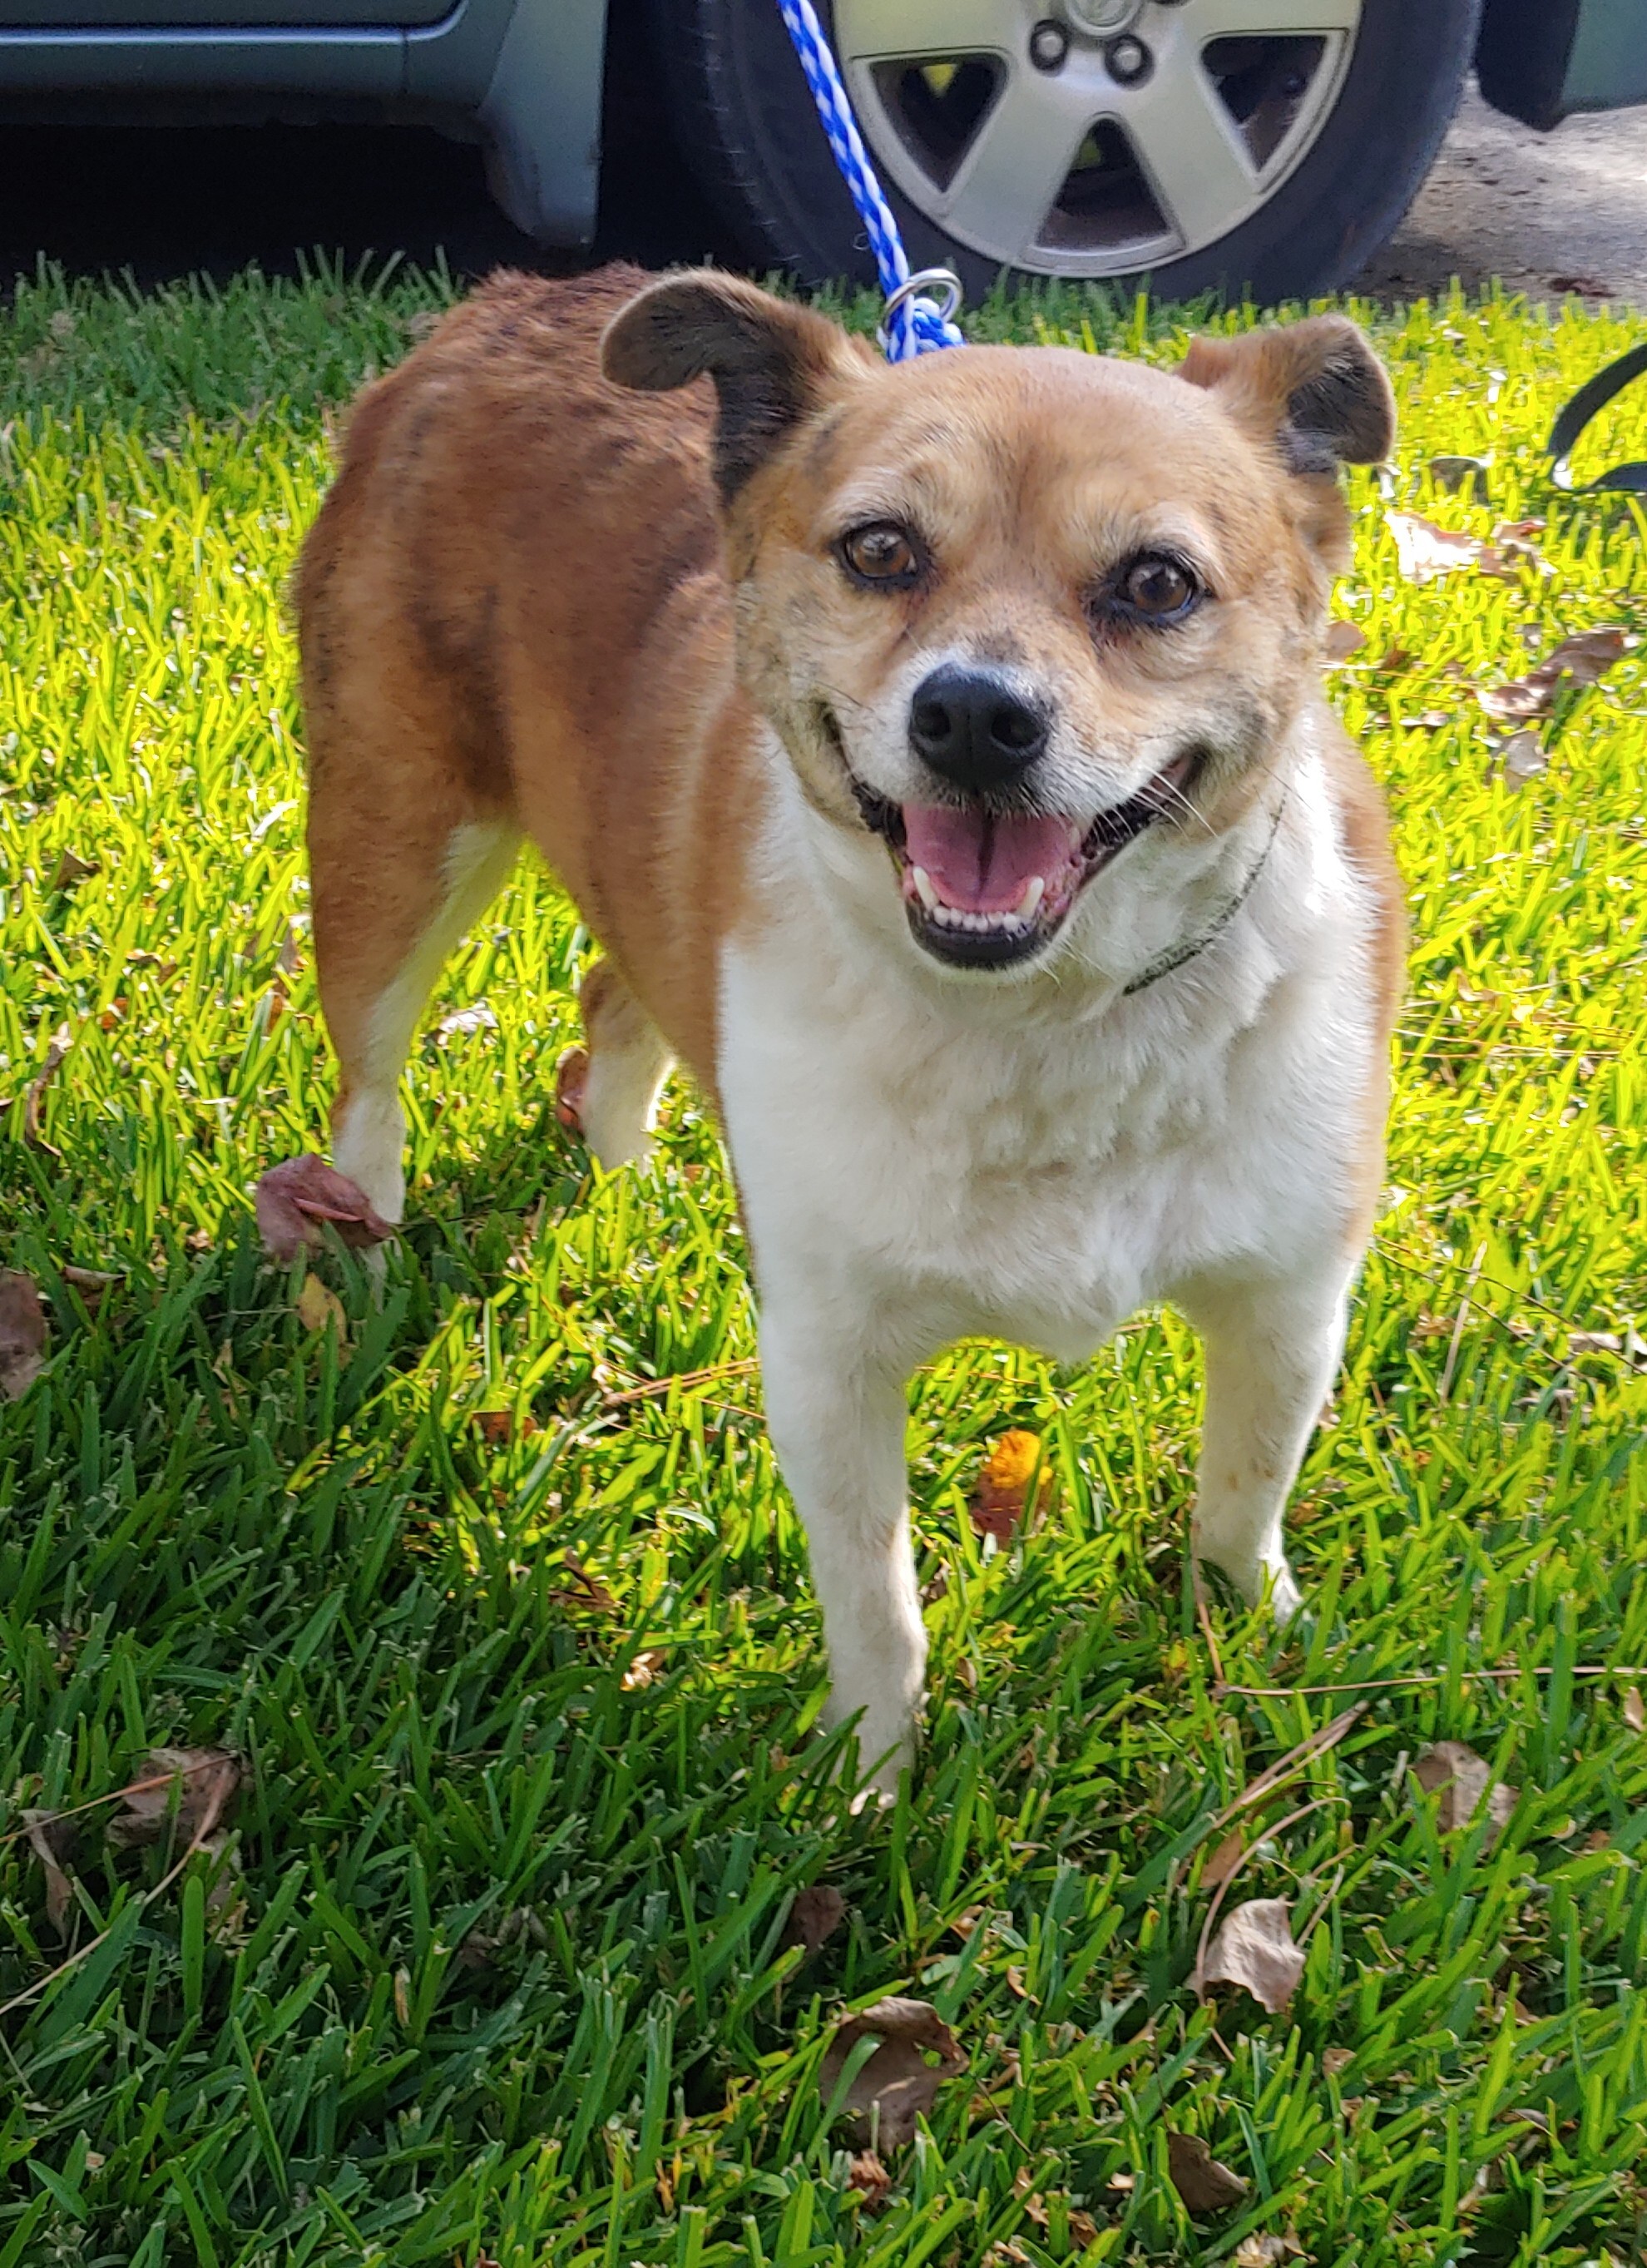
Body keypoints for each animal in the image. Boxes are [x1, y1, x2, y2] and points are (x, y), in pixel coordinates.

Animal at [297, 265, 1406, 1795]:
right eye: (882, 549)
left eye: (1157, 583)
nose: (976, 715)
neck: (1047, 1017)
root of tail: (504, 306)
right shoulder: (829, 1353)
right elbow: (874, 1591)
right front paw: (870, 1771)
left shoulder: (1289, 1297)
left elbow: (1245, 1488)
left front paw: (1254, 1627)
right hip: (398, 833)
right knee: (373, 1063)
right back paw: (365, 1232)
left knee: (618, 1001)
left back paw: (623, 1179)